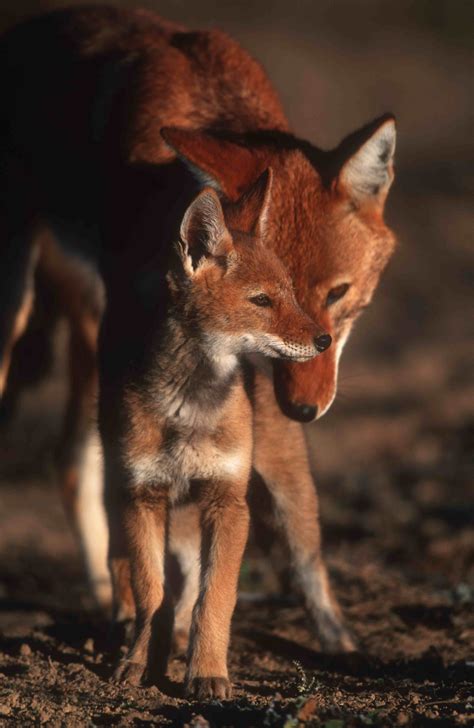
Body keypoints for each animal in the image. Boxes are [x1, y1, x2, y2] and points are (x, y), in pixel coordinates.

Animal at [0, 4, 398, 656]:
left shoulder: (255, 364)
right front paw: (149, 612)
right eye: (275, 294)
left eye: (337, 296)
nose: (307, 410)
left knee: (70, 461)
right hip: (22, 310)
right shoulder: (132, 316)